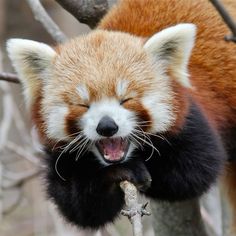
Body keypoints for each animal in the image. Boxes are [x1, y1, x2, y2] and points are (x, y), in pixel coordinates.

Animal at [5, 0, 236, 230]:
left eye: (126, 99)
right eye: (83, 104)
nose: (107, 127)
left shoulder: (191, 116)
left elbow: (196, 170)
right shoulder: (62, 155)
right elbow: (81, 208)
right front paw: (118, 172)